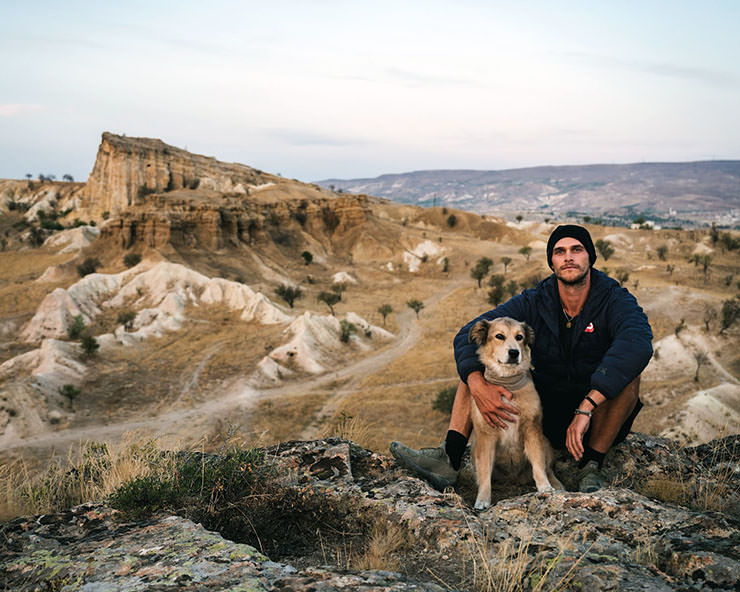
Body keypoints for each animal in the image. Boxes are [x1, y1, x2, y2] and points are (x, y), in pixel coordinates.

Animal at [468, 316, 560, 506]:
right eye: (499, 336)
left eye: (519, 337)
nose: (513, 353)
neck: (508, 384)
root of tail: (514, 479)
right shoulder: (486, 436)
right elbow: (484, 473)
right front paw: (483, 499)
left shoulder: (532, 429)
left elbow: (538, 464)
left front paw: (545, 487)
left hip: (545, 442)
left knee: (548, 468)